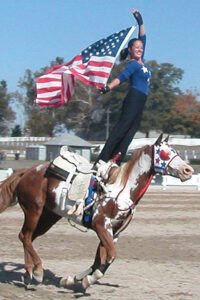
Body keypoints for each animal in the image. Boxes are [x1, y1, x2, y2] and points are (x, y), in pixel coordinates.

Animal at [0, 135, 194, 290]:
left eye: (175, 151)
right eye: (165, 153)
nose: (188, 170)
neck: (121, 191)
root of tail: (28, 171)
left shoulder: (113, 232)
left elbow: (99, 260)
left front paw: (73, 279)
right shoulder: (101, 226)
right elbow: (110, 256)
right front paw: (88, 279)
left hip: (49, 216)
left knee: (27, 238)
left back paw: (28, 274)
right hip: (34, 210)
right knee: (25, 236)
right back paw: (38, 271)